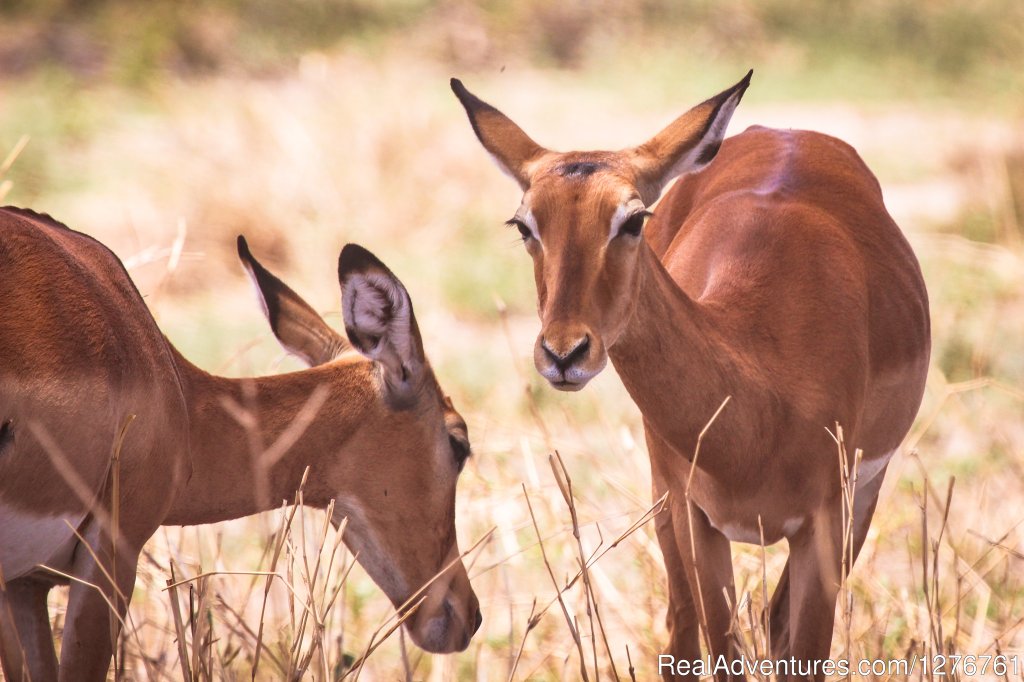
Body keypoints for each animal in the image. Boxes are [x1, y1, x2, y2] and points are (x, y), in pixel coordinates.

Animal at [452, 71, 933, 675]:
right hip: (665, 500)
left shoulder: (825, 526)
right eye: (524, 224)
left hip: (861, 499)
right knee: (682, 628)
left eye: (633, 218)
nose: (564, 353)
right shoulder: (697, 520)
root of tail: (786, 131)